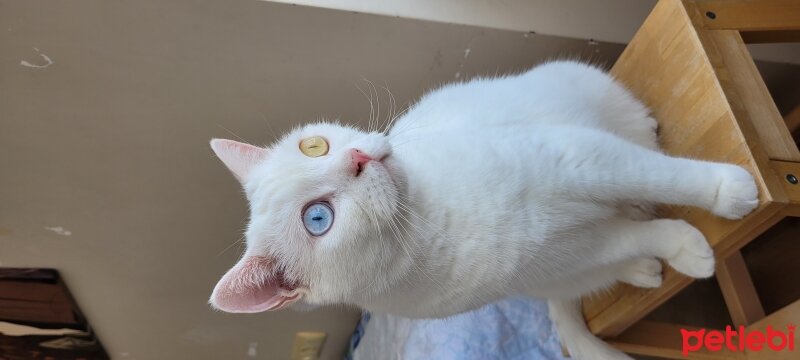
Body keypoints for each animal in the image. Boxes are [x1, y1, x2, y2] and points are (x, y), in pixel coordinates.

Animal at [205, 60, 756, 358]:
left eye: (314, 146)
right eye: (317, 219)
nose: (359, 157)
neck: (435, 223)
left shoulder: (578, 157)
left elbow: (660, 175)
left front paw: (725, 190)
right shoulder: (567, 251)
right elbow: (632, 234)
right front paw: (686, 241)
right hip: (556, 274)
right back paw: (642, 267)